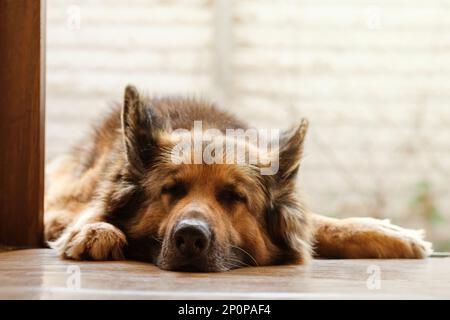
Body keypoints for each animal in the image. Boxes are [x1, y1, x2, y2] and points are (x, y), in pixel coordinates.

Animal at [44, 85, 432, 272]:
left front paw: (387, 234)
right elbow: (88, 214)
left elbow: (318, 224)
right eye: (171, 190)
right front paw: (95, 230)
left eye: (234, 196)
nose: (190, 238)